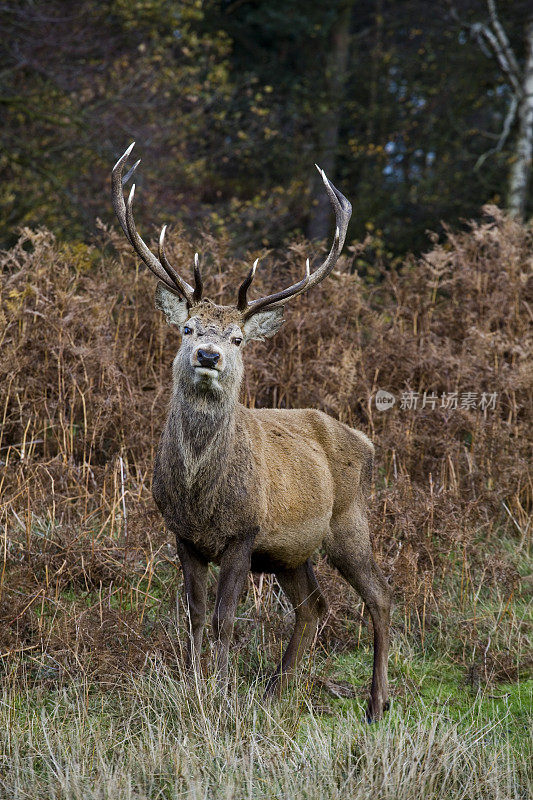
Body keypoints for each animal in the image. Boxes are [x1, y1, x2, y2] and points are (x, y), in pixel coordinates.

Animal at [111, 142, 390, 720]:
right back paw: (276, 691)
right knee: (314, 605)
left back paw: (377, 703)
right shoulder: (183, 535)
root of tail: (366, 441)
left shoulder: (244, 533)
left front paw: (219, 694)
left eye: (238, 338)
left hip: (349, 521)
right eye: (188, 328)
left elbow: (224, 619)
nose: (209, 355)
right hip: (291, 550)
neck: (201, 497)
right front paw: (194, 687)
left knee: (379, 596)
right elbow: (194, 615)